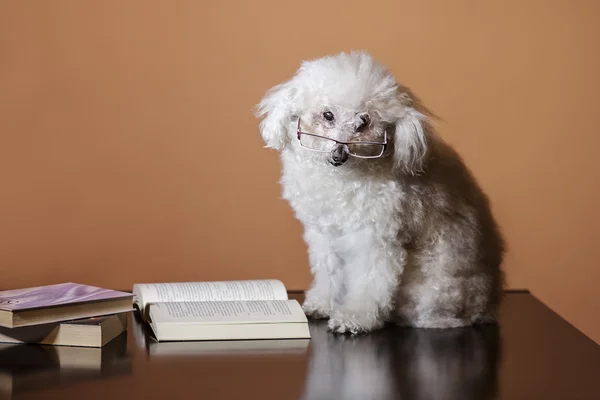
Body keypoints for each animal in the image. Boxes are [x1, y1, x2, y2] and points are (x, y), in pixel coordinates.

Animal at [255, 50, 504, 332]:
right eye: (328, 115)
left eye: (363, 122)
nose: (339, 153)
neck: (341, 180)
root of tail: (488, 306)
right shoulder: (325, 235)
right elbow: (329, 274)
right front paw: (324, 304)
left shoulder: (374, 238)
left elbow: (368, 282)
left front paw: (354, 317)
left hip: (434, 290)